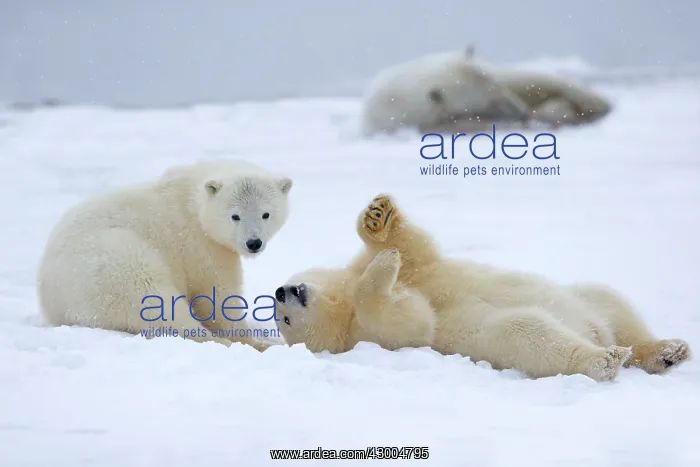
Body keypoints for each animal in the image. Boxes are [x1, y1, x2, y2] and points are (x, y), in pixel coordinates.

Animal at [37, 159, 293, 350]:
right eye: (235, 216)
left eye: (266, 214)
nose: (253, 243)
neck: (191, 198)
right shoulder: (200, 244)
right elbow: (216, 293)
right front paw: (250, 340)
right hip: (113, 262)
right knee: (155, 300)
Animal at [274, 194, 690, 381]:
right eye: (284, 320)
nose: (281, 293)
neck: (341, 303)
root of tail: (595, 331)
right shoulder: (369, 334)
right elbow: (411, 320)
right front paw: (384, 268)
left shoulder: (418, 272)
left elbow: (417, 252)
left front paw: (378, 219)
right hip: (508, 338)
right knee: (529, 333)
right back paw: (604, 359)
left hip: (587, 300)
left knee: (610, 300)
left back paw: (667, 350)